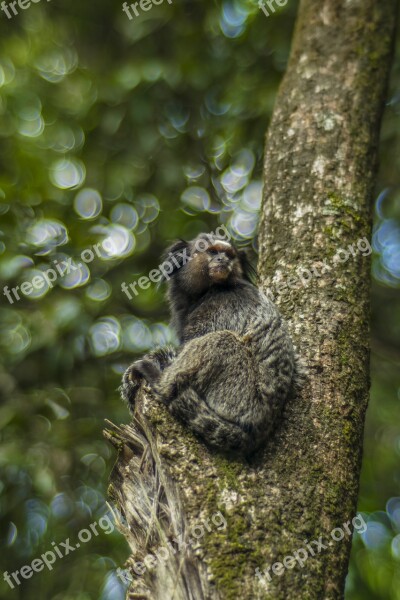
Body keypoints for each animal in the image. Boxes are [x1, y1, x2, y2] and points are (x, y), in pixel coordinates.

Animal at [119, 232, 304, 458]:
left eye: (229, 255)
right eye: (213, 252)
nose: (223, 260)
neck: (207, 292)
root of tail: (260, 425)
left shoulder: (222, 305)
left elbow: (194, 343)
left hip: (238, 395)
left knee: (222, 340)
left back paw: (159, 381)